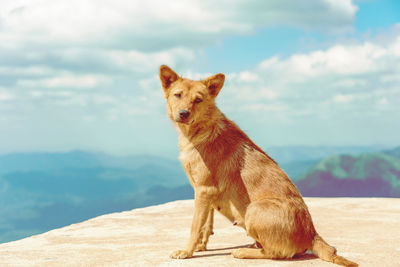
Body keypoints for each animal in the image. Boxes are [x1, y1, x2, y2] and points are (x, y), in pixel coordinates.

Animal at [158, 65, 358, 267]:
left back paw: (243, 251)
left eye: (198, 100)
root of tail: (312, 233)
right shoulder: (206, 193)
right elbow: (206, 224)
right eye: (177, 95)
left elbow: (195, 225)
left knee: (275, 253)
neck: (201, 130)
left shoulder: (204, 190)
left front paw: (187, 251)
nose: (183, 113)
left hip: (254, 209)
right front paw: (200, 246)